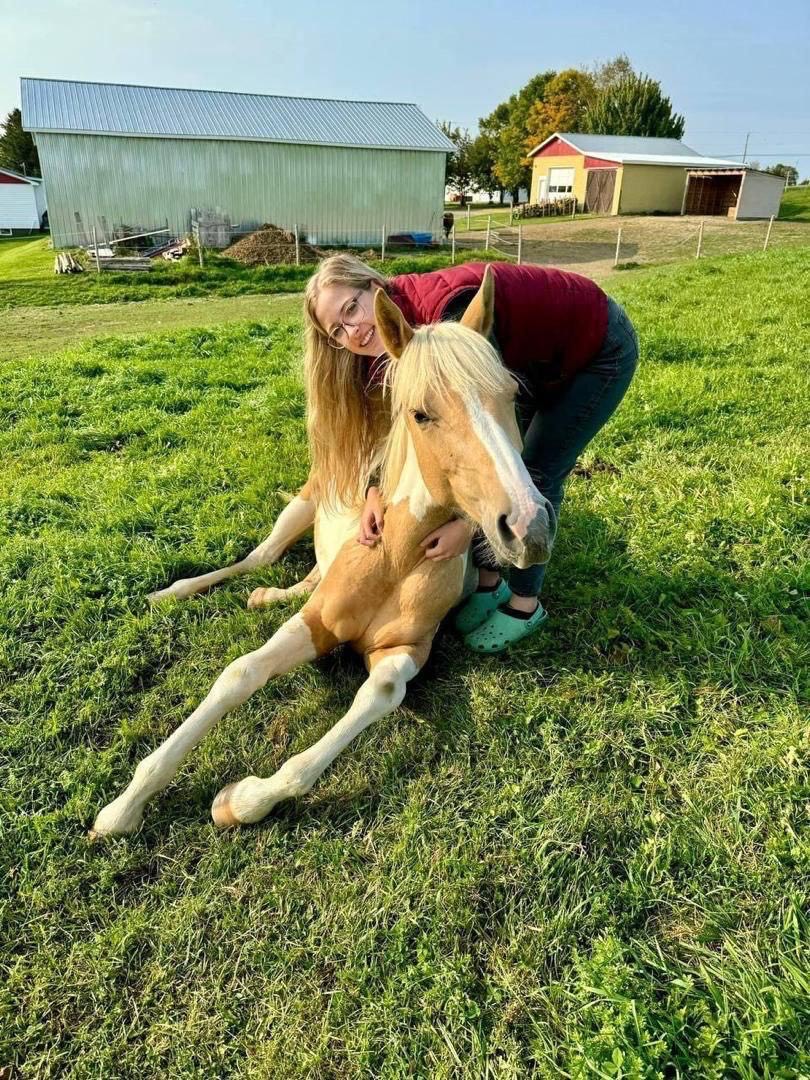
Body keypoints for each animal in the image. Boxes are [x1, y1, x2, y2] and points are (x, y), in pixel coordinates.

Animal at [91, 268, 555, 836]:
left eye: (510, 395)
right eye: (420, 414)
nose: (530, 526)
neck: (396, 556)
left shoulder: (405, 650)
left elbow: (376, 697)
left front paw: (240, 800)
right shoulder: (315, 622)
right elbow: (242, 673)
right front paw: (121, 808)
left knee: (305, 576)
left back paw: (265, 596)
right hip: (297, 512)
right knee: (257, 561)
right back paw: (172, 594)